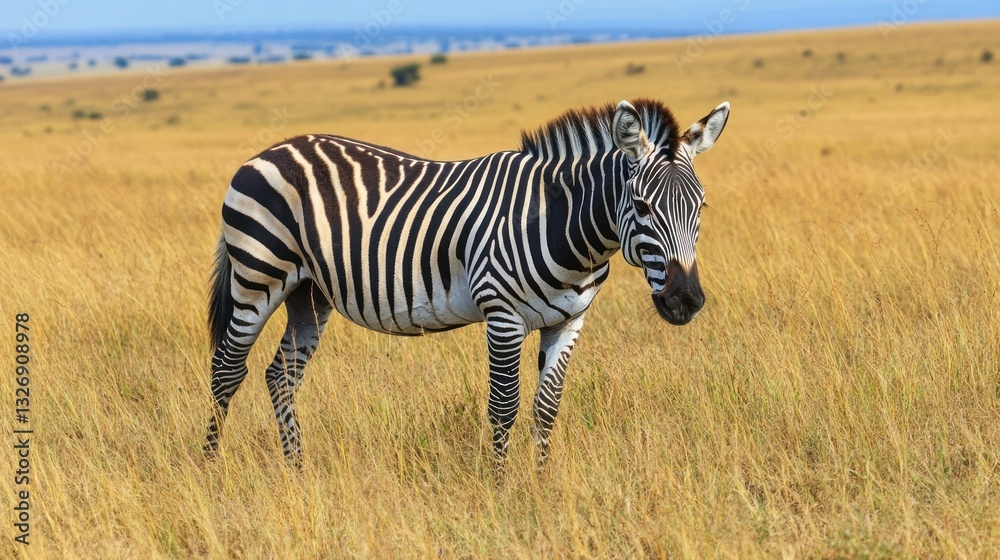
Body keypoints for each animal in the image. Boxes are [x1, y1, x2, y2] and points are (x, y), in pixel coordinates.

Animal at [204, 98, 730, 468]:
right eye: (641, 206)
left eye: (702, 206)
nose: (685, 300)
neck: (563, 224)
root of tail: (268, 151)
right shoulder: (502, 316)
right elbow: (503, 408)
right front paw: (502, 495)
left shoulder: (569, 321)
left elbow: (546, 408)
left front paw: (541, 487)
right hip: (257, 277)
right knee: (227, 371)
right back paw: (211, 469)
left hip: (307, 293)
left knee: (281, 376)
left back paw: (297, 469)